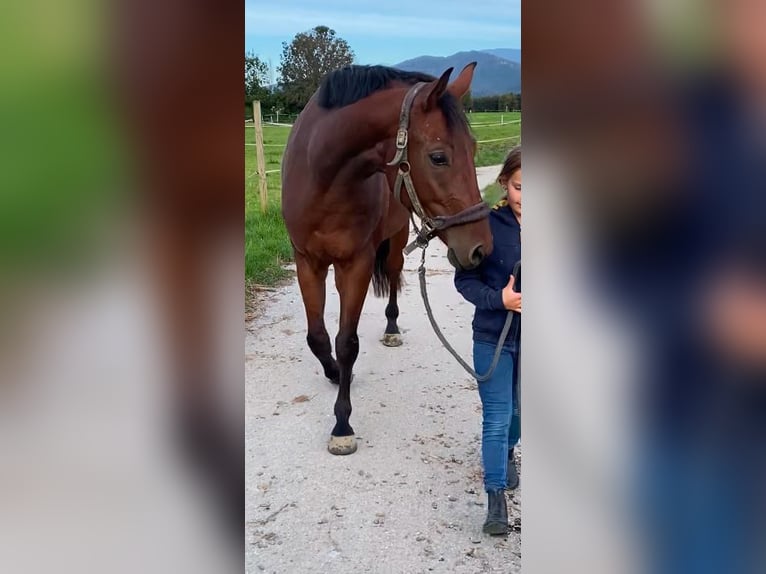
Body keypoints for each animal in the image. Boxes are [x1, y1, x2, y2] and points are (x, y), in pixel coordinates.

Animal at [280, 63, 492, 456]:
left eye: (473, 149)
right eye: (438, 157)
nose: (481, 249)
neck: (323, 179)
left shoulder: (356, 264)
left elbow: (347, 342)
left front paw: (342, 424)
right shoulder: (307, 262)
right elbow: (318, 337)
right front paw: (335, 373)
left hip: (396, 241)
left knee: (393, 278)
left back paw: (392, 329)